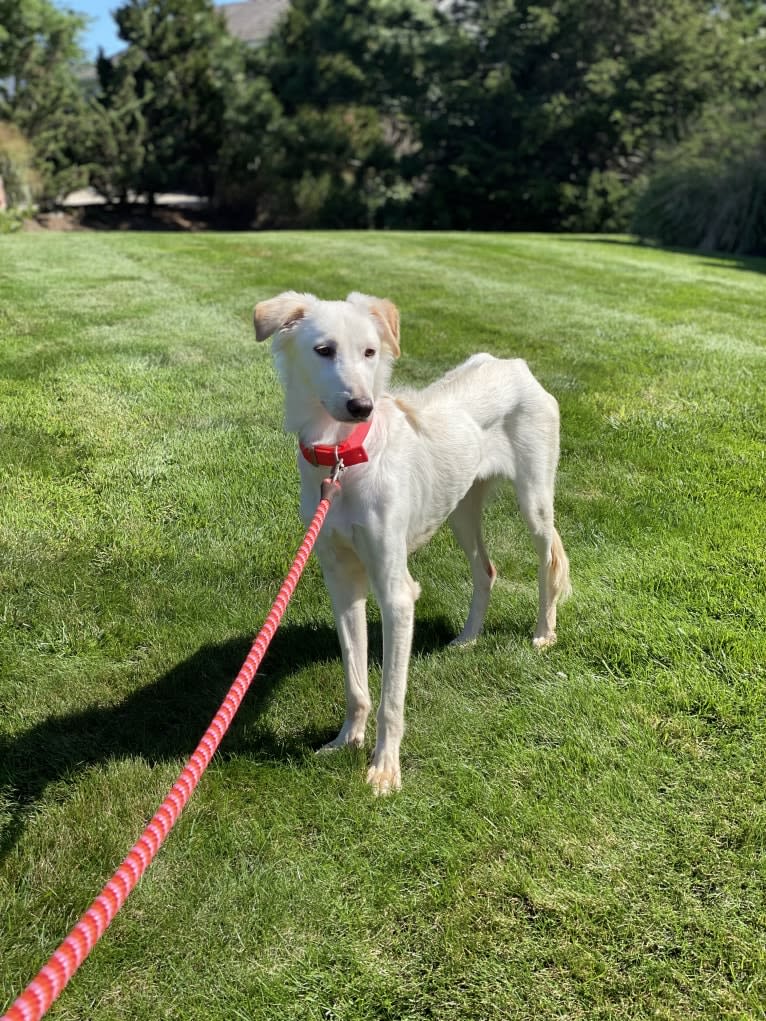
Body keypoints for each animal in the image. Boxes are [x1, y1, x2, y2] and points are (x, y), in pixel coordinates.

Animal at [253, 292, 571, 792]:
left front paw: (385, 769)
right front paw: (346, 740)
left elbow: (391, 697)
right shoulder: (342, 582)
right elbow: (356, 681)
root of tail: (514, 364)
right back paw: (467, 638)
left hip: (535, 501)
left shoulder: (397, 592)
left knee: (547, 565)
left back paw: (544, 632)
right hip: (461, 508)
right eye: (323, 350)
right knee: (486, 570)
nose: (362, 406)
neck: (344, 456)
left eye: (370, 352)